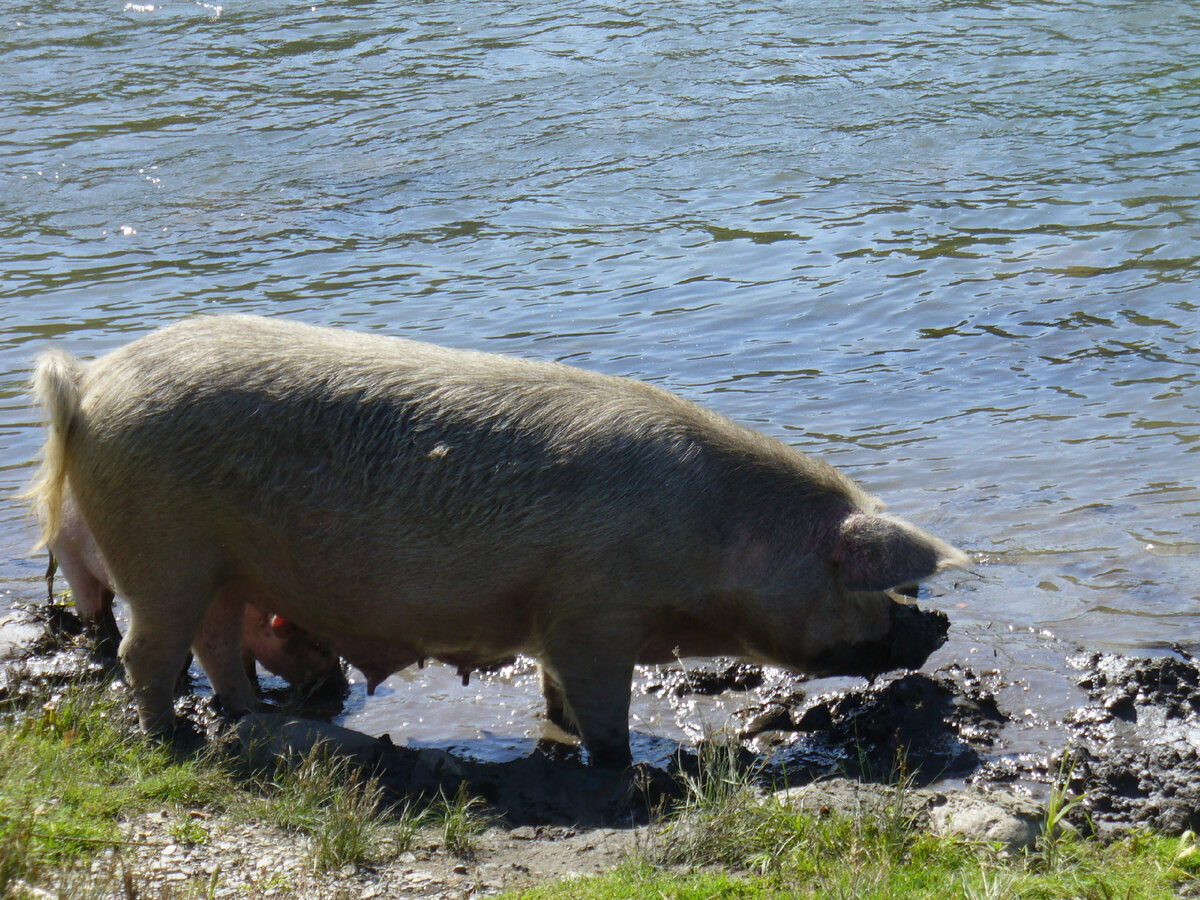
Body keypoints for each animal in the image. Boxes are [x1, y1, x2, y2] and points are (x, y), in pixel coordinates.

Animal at [23, 316, 969, 768]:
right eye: (880, 585)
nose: (941, 625)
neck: (714, 543)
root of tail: (91, 380)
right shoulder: (594, 610)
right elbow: (602, 709)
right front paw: (623, 768)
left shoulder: (552, 616)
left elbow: (555, 694)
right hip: (161, 553)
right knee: (148, 654)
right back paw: (176, 742)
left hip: (227, 570)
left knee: (218, 647)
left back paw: (252, 718)